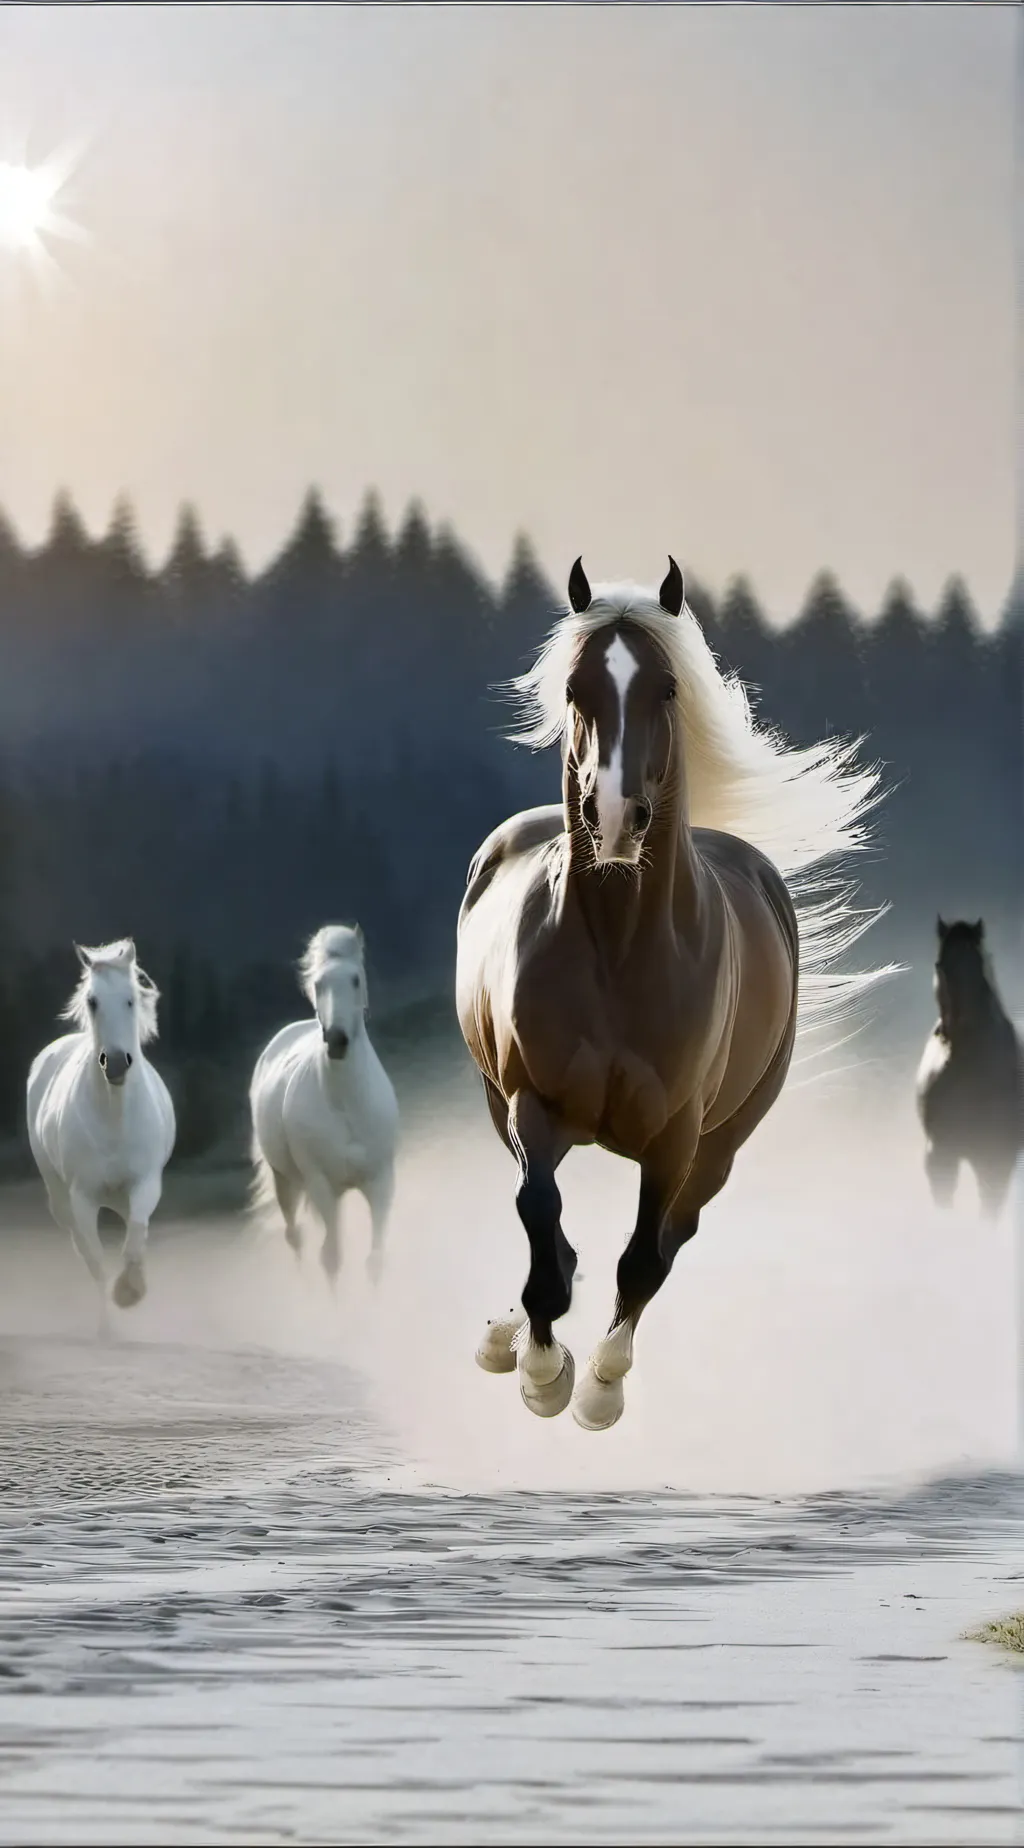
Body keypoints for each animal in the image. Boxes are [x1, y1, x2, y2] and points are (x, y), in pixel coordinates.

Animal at [26, 938, 176, 1334]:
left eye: (131, 999)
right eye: (92, 1001)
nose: (117, 1063)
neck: (114, 1116)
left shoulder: (144, 1183)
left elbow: (135, 1238)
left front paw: (130, 1291)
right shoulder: (82, 1196)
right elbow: (95, 1258)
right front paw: (110, 1322)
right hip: (62, 1197)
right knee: (82, 1247)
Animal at [249, 924, 399, 1285]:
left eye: (355, 979)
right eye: (318, 984)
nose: (336, 1040)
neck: (347, 1104)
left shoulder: (381, 1182)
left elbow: (374, 1260)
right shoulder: (321, 1185)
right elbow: (331, 1259)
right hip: (285, 1181)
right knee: (296, 1237)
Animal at [456, 556, 890, 1431]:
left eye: (665, 688)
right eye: (575, 688)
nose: (616, 818)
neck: (623, 951)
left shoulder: (676, 1138)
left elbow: (643, 1256)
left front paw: (598, 1387)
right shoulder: (531, 1103)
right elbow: (541, 1220)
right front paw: (542, 1372)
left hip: (725, 1139)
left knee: (670, 1239)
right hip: (505, 1105)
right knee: (549, 1223)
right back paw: (506, 1340)